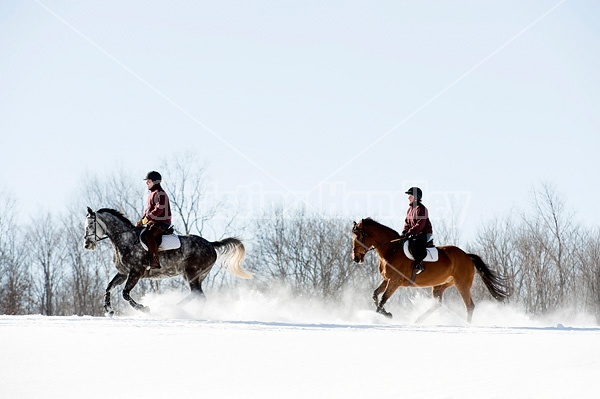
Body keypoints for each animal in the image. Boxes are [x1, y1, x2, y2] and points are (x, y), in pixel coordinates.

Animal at [82, 208, 251, 318]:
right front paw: (109, 310)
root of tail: (210, 244)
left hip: (192, 274)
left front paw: (144, 309)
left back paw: (183, 312)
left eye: (90, 225)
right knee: (196, 295)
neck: (126, 239)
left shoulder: (136, 272)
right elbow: (109, 287)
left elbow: (125, 294)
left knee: (199, 295)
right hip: (195, 276)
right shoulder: (123, 273)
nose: (87, 245)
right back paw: (176, 309)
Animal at [350, 219, 508, 322]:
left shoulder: (395, 281)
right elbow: (375, 295)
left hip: (462, 284)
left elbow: (383, 299)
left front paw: (385, 315)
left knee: (469, 306)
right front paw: (385, 313)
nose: (355, 258)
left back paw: (467, 325)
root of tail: (467, 256)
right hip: (441, 285)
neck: (391, 250)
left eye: (359, 237)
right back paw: (417, 320)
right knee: (437, 303)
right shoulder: (387, 279)